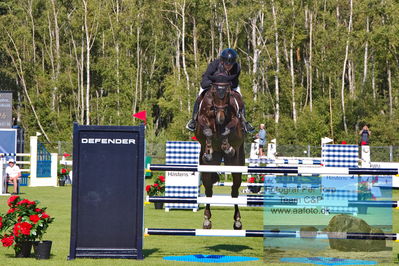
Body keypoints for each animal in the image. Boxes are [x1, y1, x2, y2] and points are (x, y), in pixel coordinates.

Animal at [195, 82, 247, 230]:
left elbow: (227, 130)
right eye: (213, 93)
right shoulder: (202, 119)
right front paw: (209, 149)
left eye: (228, 94)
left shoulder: (234, 120)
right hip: (207, 170)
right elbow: (207, 130)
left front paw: (227, 147)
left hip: (236, 166)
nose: (220, 118)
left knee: (234, 191)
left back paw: (237, 221)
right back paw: (206, 220)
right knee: (208, 191)